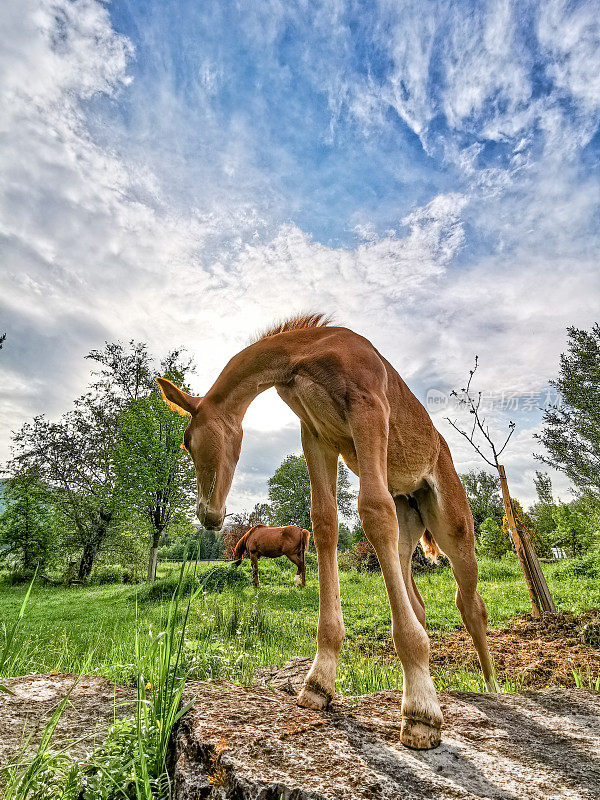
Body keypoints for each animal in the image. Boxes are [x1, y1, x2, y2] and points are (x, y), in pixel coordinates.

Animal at [157, 312, 494, 752]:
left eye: (186, 441)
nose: (208, 515)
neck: (306, 355)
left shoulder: (369, 408)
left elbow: (373, 511)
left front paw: (421, 712)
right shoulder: (316, 435)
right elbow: (324, 523)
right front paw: (319, 682)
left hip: (453, 525)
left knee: (470, 604)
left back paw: (492, 691)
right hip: (408, 531)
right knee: (415, 594)